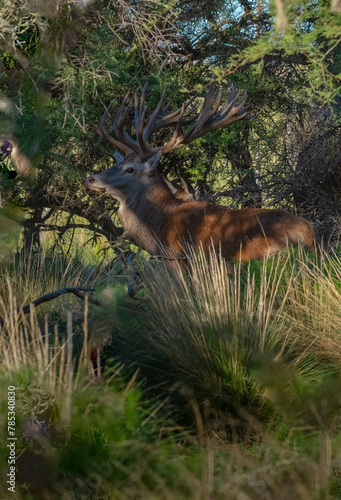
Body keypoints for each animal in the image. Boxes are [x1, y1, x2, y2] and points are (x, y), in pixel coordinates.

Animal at [86, 82, 314, 270]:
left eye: (130, 169)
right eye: (117, 162)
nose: (90, 179)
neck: (158, 227)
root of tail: (309, 235)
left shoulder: (176, 260)